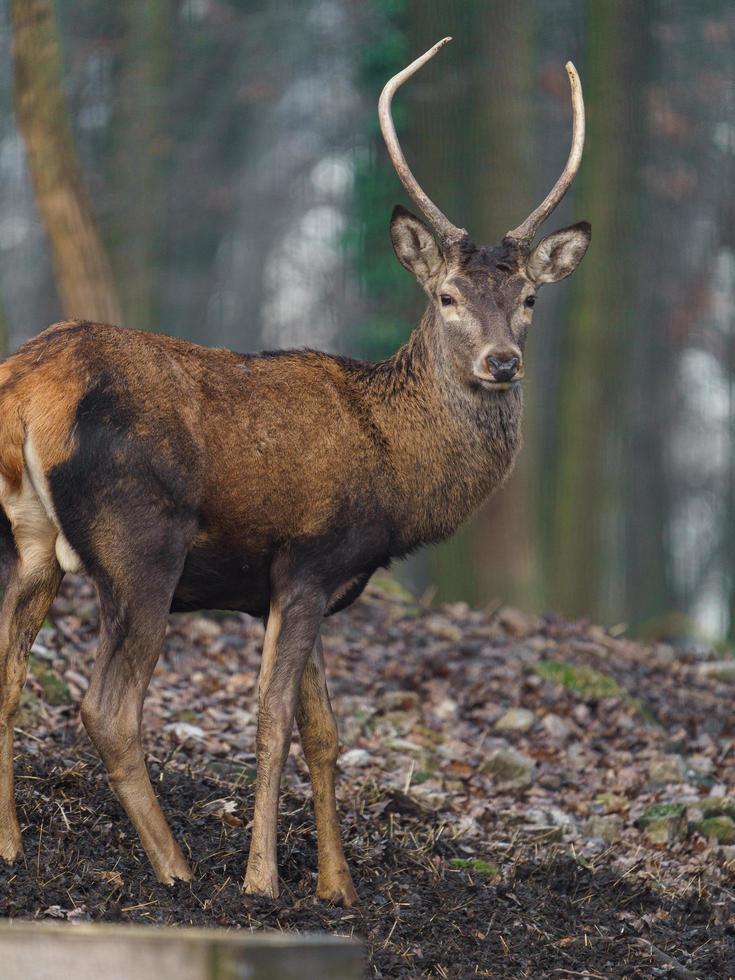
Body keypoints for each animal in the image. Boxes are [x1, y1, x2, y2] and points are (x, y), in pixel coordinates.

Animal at [0, 42, 588, 908]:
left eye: (529, 298)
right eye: (447, 295)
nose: (500, 361)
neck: (396, 472)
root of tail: (28, 393)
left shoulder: (301, 582)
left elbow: (325, 730)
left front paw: (338, 887)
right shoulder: (308, 558)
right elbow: (273, 720)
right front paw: (264, 879)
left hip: (30, 539)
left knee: (9, 672)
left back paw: (11, 845)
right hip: (138, 544)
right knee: (106, 708)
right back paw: (176, 868)